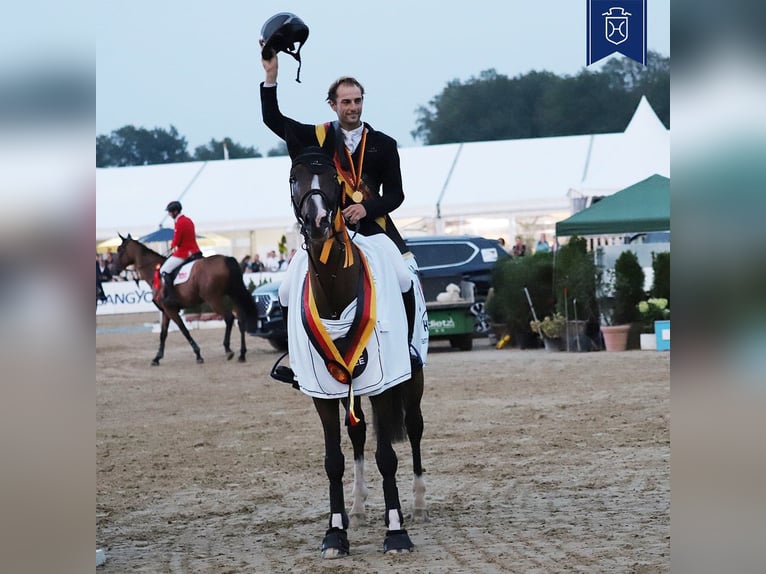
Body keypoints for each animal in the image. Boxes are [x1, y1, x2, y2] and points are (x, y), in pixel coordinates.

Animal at [112, 235, 260, 366]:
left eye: (120, 249)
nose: (114, 269)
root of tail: (226, 259)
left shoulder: (171, 310)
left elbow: (184, 330)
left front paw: (198, 355)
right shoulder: (166, 311)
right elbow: (163, 334)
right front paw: (157, 358)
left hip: (214, 300)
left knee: (229, 318)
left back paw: (228, 350)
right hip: (233, 296)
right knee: (241, 320)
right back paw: (242, 354)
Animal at [276, 137, 428, 560]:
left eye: (331, 177)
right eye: (293, 177)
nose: (318, 222)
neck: (335, 295)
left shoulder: (383, 385)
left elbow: (387, 457)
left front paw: (396, 532)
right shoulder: (321, 393)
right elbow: (334, 460)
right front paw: (335, 532)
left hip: (411, 379)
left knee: (414, 428)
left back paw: (418, 503)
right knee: (357, 435)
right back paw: (357, 508)